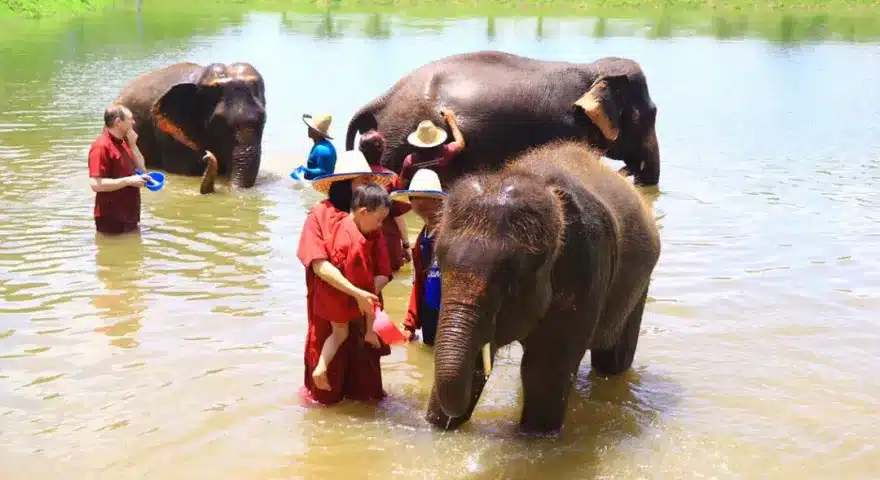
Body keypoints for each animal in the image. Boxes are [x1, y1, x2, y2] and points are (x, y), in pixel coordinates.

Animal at [345, 50, 660, 187]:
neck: (593, 69)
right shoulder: (571, 129)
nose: (629, 172)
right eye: (652, 114)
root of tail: (383, 98)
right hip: (397, 143)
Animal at [424, 140, 661, 433]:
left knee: (611, 360)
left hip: (641, 283)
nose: (448, 420)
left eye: (511, 282)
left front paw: (534, 436)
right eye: (439, 263)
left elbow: (544, 368)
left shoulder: (587, 263)